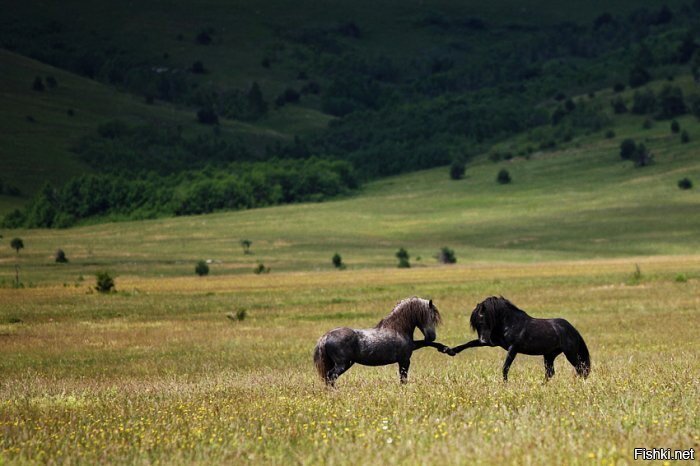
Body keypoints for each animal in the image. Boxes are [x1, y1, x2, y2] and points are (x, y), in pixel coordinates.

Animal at [312, 298, 448, 386]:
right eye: (431, 316)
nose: (431, 336)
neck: (397, 328)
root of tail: (325, 337)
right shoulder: (404, 360)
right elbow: (403, 379)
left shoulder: (411, 348)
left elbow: (425, 344)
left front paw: (446, 349)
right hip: (342, 364)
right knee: (330, 377)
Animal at [448, 296, 592, 380]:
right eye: (476, 324)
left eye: (484, 320)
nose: (483, 339)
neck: (510, 323)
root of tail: (572, 330)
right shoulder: (494, 342)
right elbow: (470, 343)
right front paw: (451, 351)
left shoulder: (513, 348)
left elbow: (505, 367)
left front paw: (505, 385)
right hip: (549, 355)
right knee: (550, 373)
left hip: (570, 354)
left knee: (581, 368)